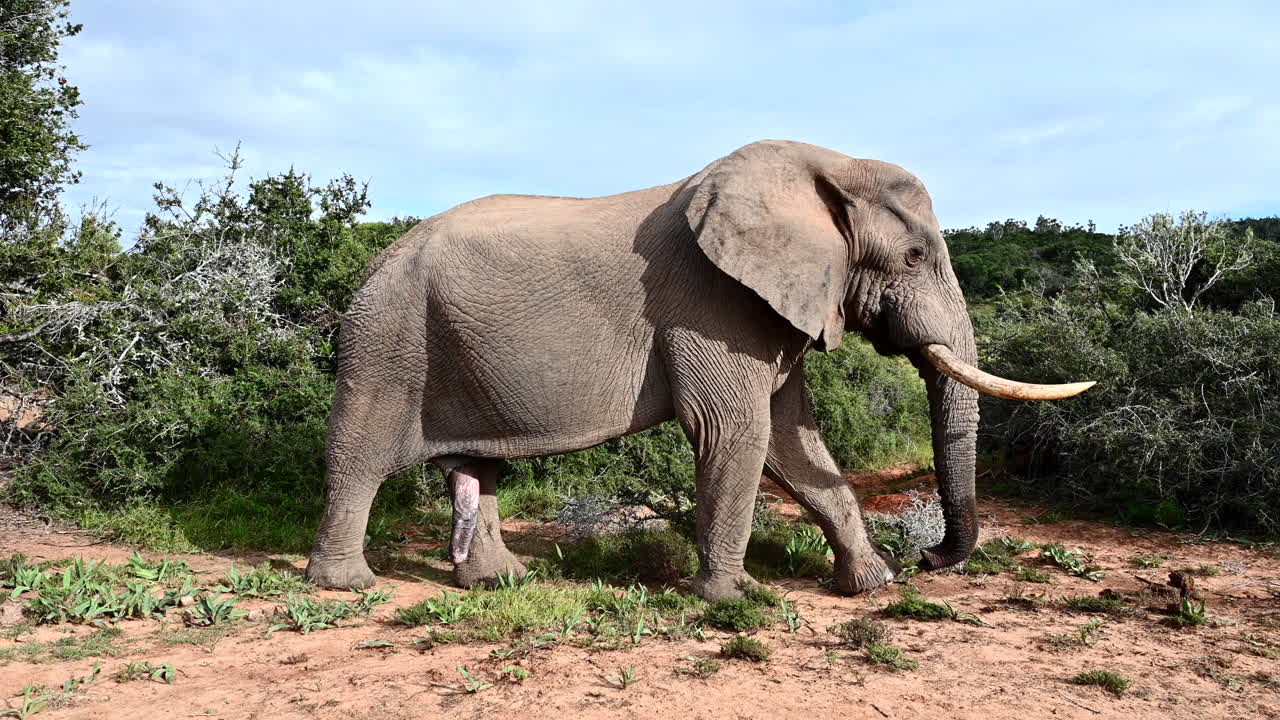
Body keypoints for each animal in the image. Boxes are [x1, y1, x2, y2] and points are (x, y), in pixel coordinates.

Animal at [305, 140, 1093, 601]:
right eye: (915, 256)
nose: (931, 558)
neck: (822, 169)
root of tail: (374, 261)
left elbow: (792, 439)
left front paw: (872, 585)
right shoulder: (712, 303)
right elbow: (733, 432)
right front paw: (732, 599)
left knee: (475, 469)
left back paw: (502, 583)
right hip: (388, 334)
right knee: (360, 453)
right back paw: (347, 586)